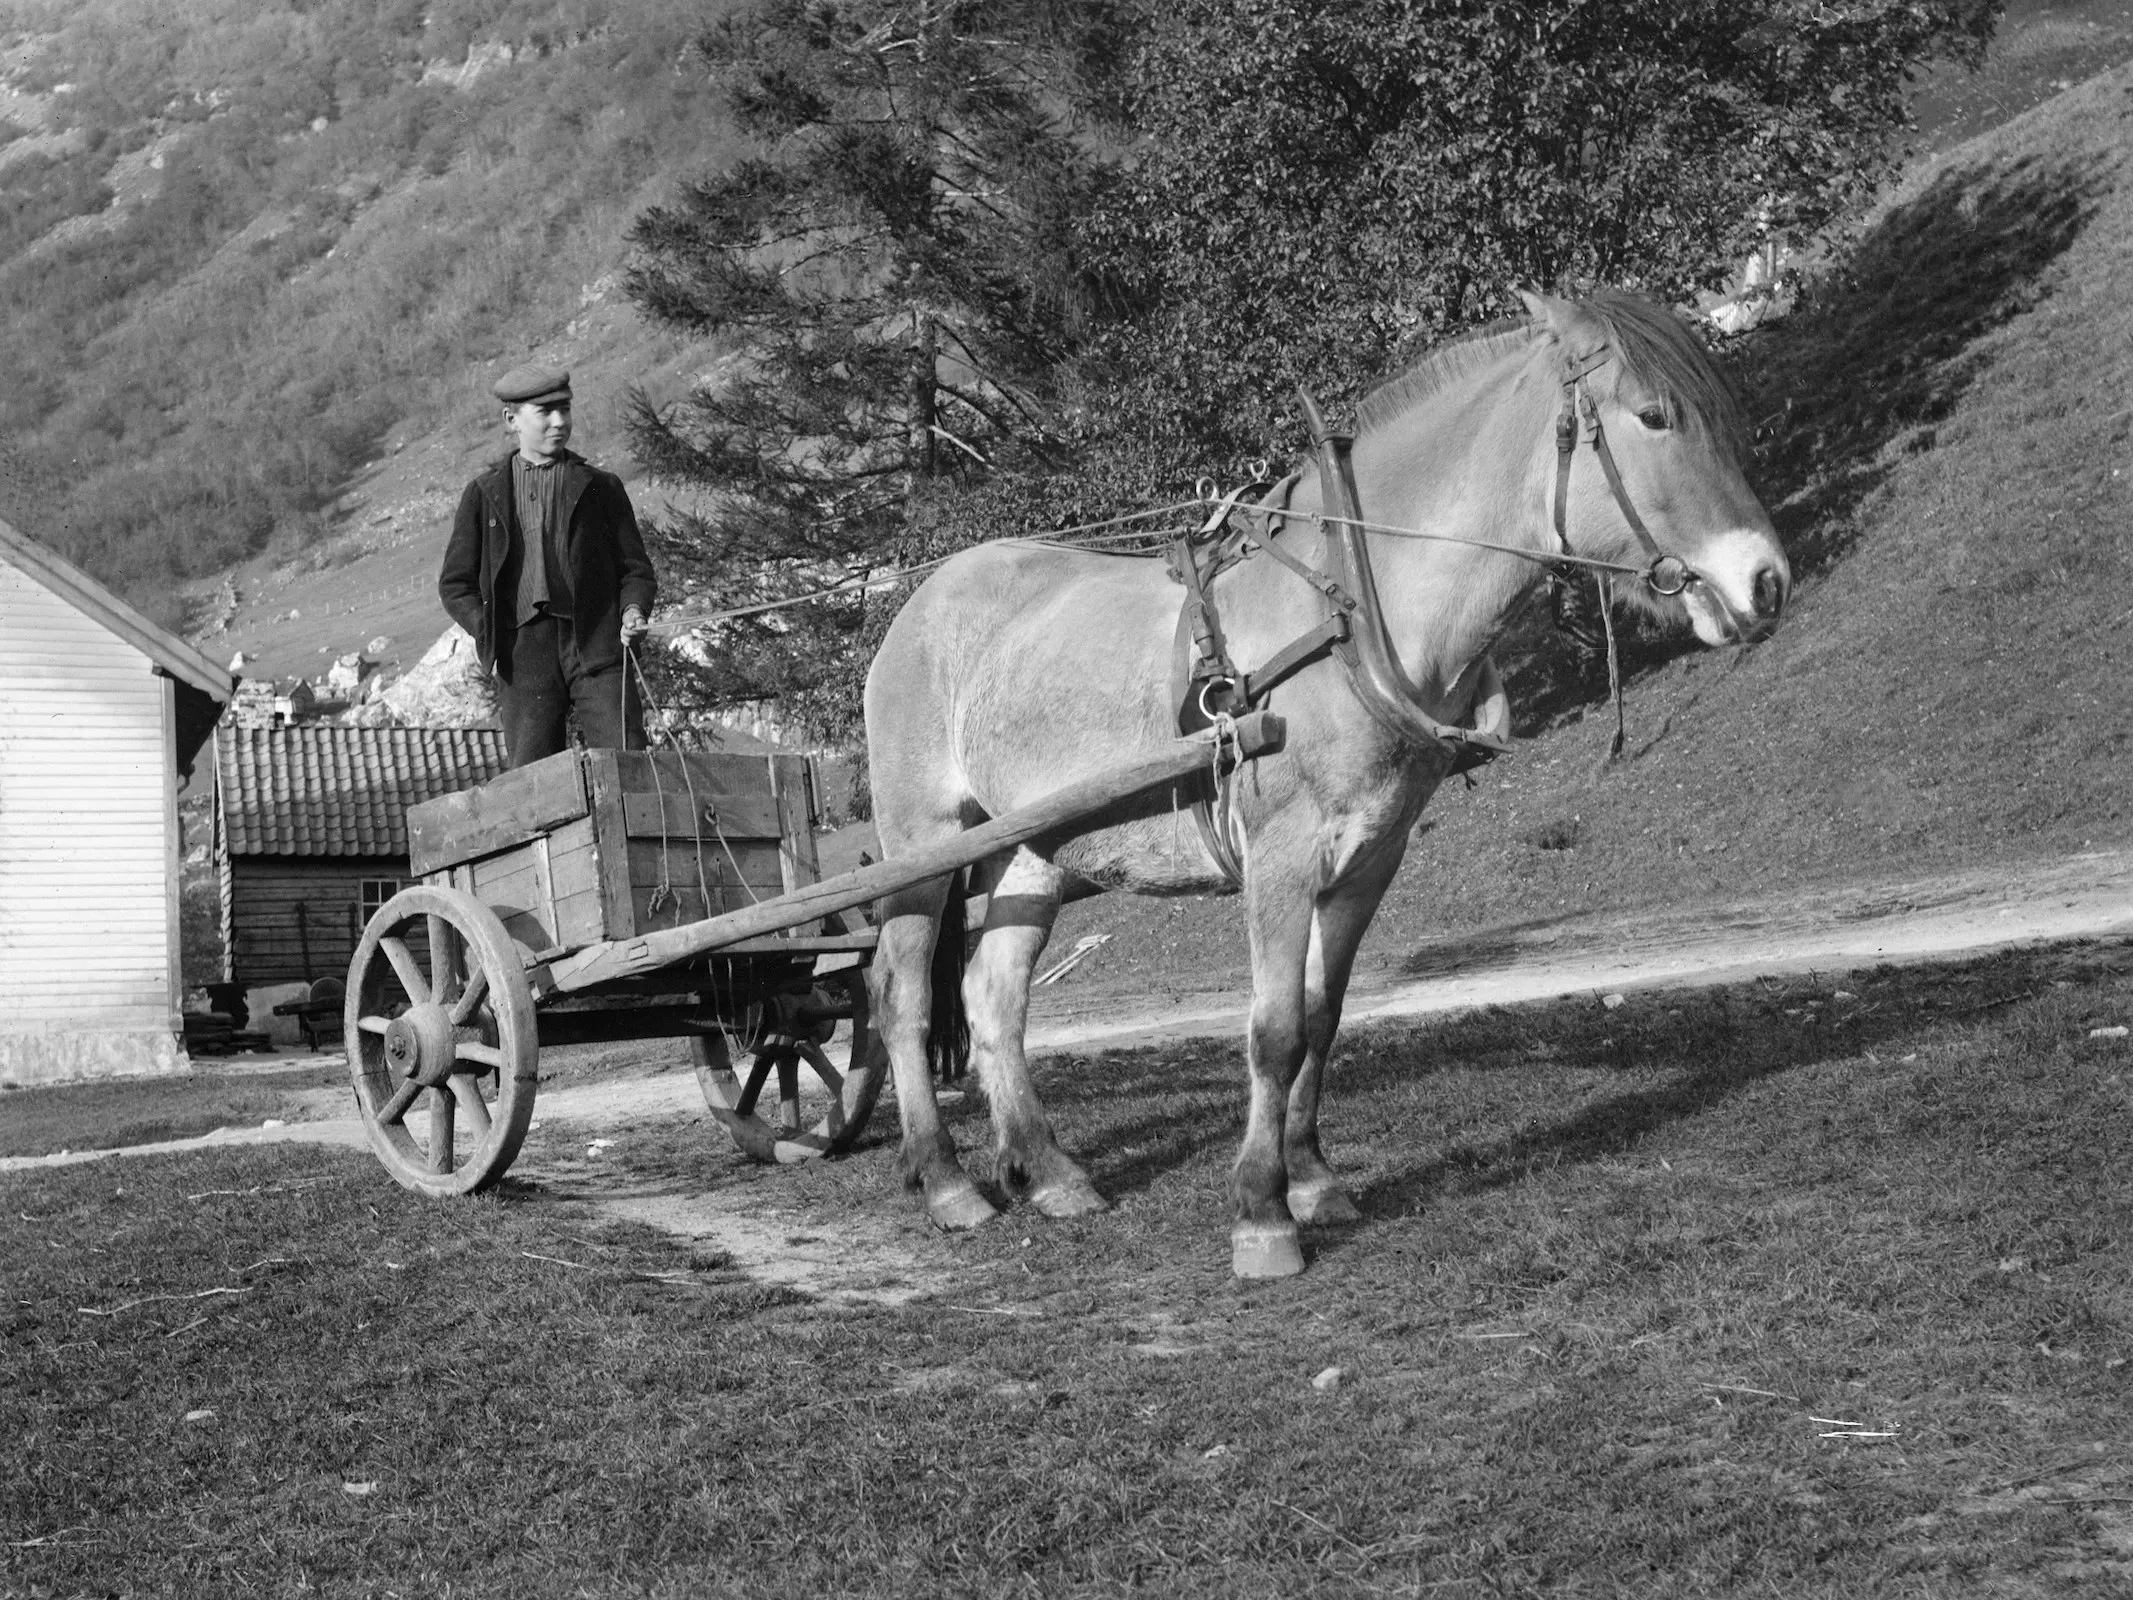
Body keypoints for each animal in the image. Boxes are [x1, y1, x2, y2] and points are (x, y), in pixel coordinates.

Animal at [857, 288, 1791, 1280]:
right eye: (1652, 416)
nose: (1766, 582)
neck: (1348, 615)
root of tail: (921, 602)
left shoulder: (1368, 857)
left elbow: (1321, 1013)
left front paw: (1310, 1178)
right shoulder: (1281, 856)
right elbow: (1272, 1030)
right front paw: (1262, 1213)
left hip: (1027, 848)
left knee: (992, 1001)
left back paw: (1049, 1169)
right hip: (924, 843)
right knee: (904, 1000)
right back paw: (946, 1181)